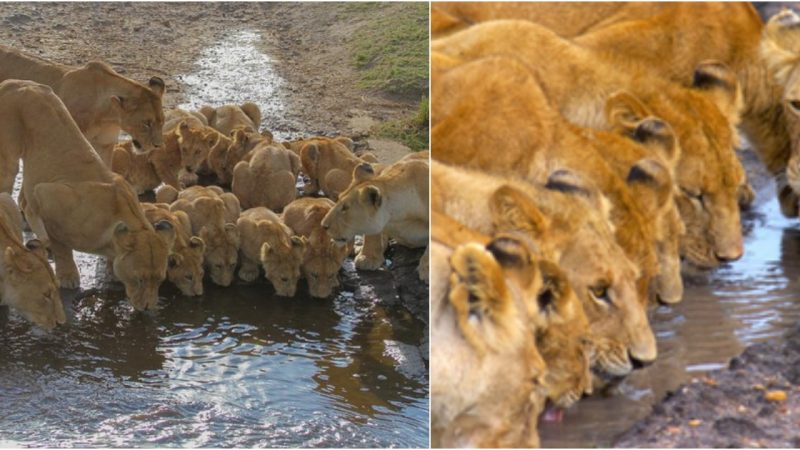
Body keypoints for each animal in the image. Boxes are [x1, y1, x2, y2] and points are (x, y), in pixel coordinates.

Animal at [1, 80, 177, 312]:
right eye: (139, 279)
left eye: (159, 279)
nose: (148, 307)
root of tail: (15, 83)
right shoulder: (48, 195)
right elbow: (61, 246)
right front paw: (68, 276)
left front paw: (111, 269)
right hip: (9, 158)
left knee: (27, 204)